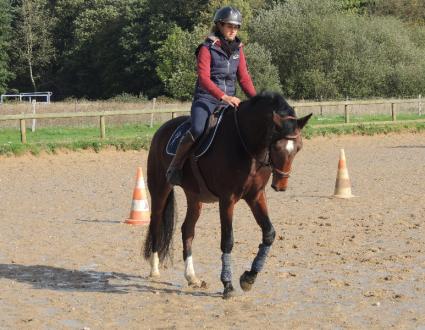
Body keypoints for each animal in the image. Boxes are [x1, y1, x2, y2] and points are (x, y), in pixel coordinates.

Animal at [144, 91, 310, 298]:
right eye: (277, 146)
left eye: (298, 148)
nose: (281, 185)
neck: (247, 144)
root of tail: (162, 129)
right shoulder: (227, 200)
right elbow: (228, 240)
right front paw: (228, 284)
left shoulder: (256, 196)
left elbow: (269, 233)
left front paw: (249, 278)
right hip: (160, 189)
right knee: (156, 224)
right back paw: (154, 269)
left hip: (194, 197)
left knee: (187, 230)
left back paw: (192, 277)